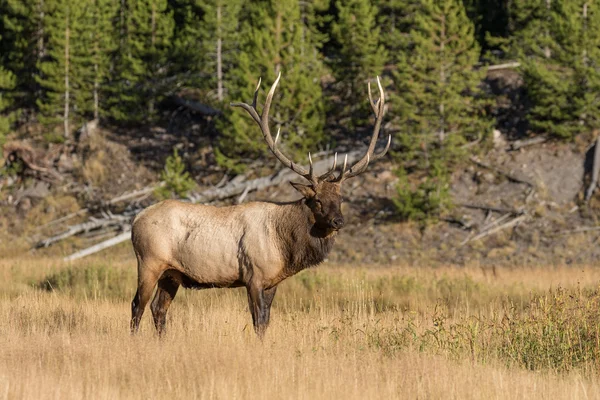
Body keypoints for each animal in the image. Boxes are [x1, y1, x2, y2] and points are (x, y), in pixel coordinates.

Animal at [131, 72, 392, 338]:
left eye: (341, 199)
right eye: (317, 200)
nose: (338, 221)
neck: (285, 245)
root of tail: (135, 219)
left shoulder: (272, 282)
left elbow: (266, 321)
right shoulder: (253, 275)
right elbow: (258, 320)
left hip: (172, 273)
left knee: (158, 308)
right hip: (149, 261)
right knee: (137, 305)